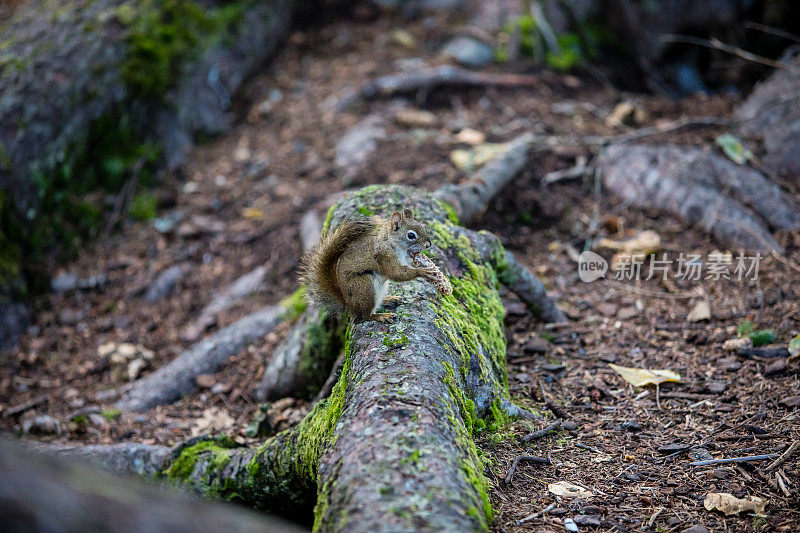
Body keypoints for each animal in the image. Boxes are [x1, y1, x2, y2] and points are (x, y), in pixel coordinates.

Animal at [298, 209, 438, 322]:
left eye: (423, 228)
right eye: (411, 235)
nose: (428, 245)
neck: (391, 243)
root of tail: (349, 306)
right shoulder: (385, 258)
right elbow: (396, 273)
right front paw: (422, 271)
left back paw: (388, 300)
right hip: (364, 286)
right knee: (365, 316)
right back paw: (380, 316)